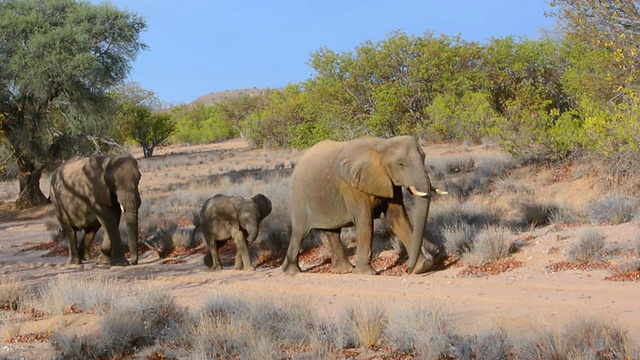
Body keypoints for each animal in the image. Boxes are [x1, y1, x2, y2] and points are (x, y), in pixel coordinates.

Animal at [282, 136, 442, 276]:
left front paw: (423, 267)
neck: (381, 145)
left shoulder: (389, 180)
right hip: (299, 196)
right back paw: (291, 271)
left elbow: (397, 219)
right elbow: (365, 221)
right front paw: (366, 273)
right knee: (300, 233)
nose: (408, 270)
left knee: (332, 231)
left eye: (424, 158)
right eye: (401, 164)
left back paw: (344, 270)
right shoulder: (352, 185)